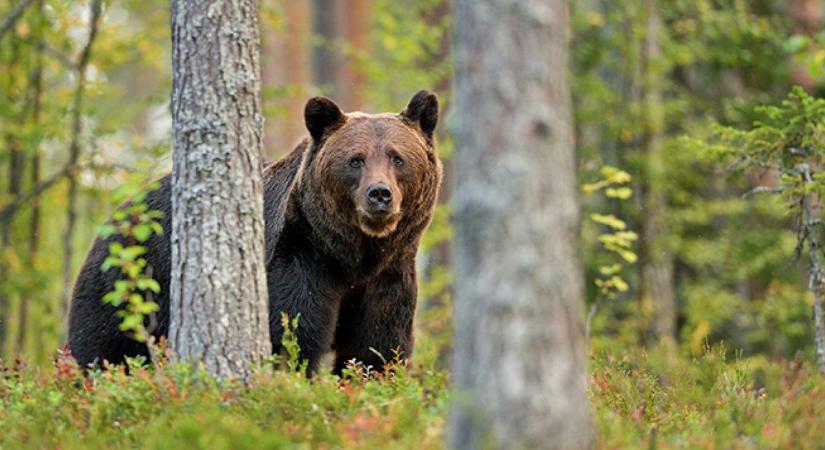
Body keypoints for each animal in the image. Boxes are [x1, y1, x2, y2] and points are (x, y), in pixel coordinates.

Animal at [67, 89, 440, 374]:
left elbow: (376, 348)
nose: (379, 194)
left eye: (398, 158)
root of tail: (119, 213)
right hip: (129, 281)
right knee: (104, 347)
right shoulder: (299, 257)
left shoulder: (388, 277)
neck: (353, 255)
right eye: (355, 159)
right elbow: (292, 334)